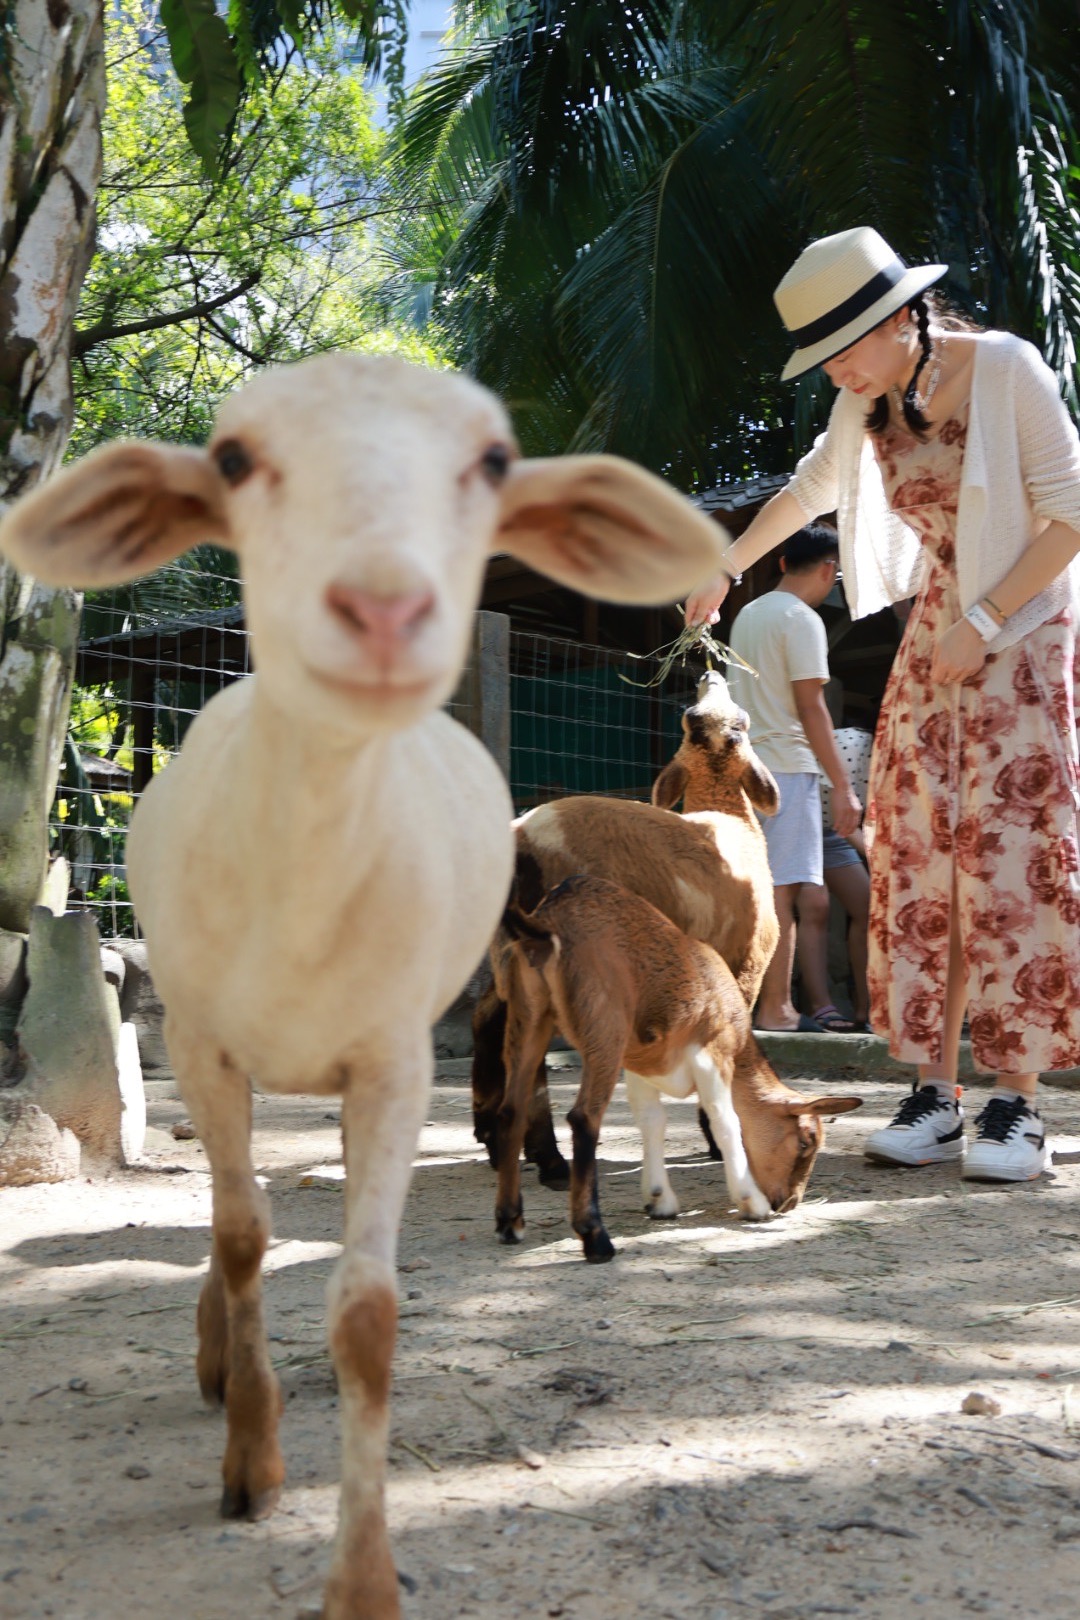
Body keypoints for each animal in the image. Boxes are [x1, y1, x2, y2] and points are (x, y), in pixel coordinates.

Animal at [476, 664, 786, 1185]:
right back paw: (549, 1160)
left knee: (491, 1021)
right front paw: (717, 1138)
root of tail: (523, 838)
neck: (730, 813)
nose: (710, 670)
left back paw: (501, 1140)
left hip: (508, 949)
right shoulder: (746, 965)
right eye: (694, 717)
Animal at [492, 874, 861, 1250]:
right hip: (603, 1027)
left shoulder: (639, 1063)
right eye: (805, 1142)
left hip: (528, 1016)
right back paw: (595, 1237)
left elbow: (653, 1120)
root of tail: (545, 926)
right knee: (583, 1119)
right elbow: (726, 1122)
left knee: (511, 1111)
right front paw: (751, 1203)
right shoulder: (712, 1052)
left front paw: (660, 1200)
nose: (789, 1202)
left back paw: (510, 1222)